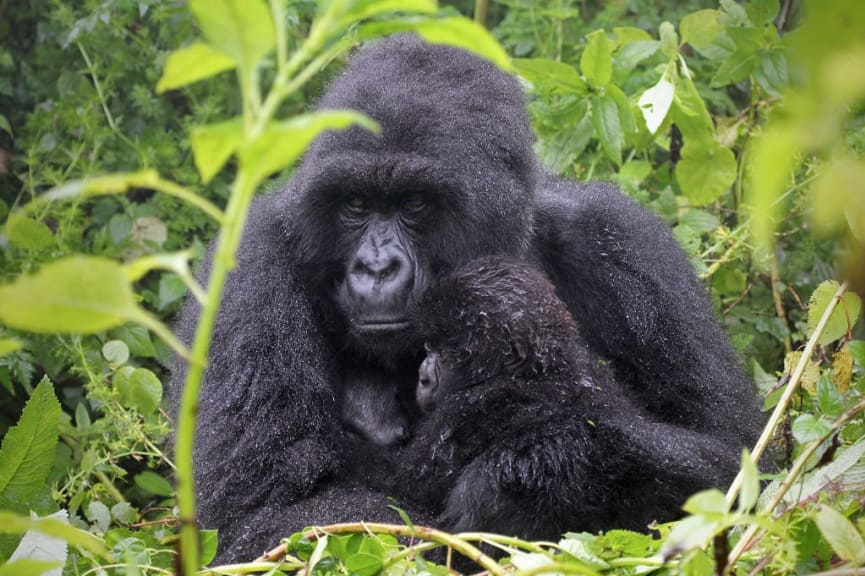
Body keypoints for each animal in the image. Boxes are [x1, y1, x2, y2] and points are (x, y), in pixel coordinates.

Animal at [392, 258, 736, 544]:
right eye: (428, 345)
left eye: (446, 352)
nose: (424, 377)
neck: (541, 367)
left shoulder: (465, 409)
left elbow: (408, 486)